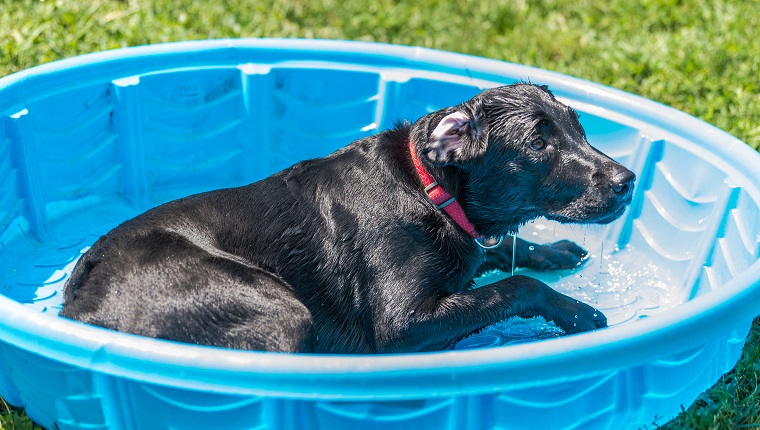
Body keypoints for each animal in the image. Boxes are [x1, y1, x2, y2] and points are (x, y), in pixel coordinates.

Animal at [62, 84, 636, 352]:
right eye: (539, 143)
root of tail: (80, 297)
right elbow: (515, 285)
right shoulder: (402, 325)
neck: (429, 191)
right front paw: (580, 314)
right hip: (276, 308)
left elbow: (504, 254)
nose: (627, 180)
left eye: (579, 128)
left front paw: (555, 251)